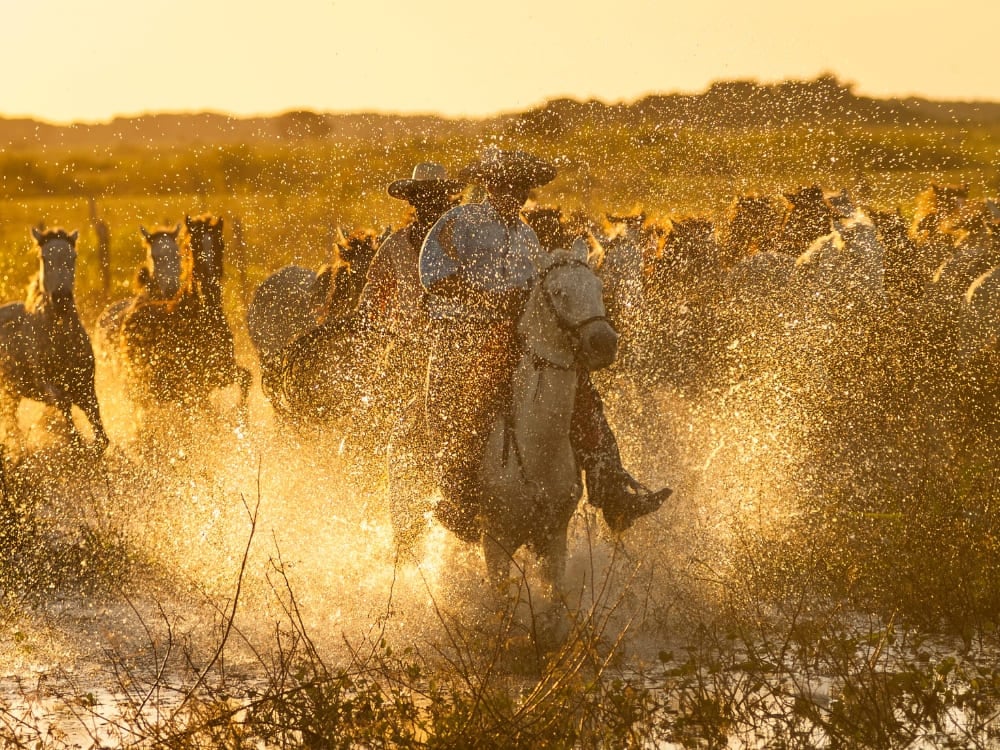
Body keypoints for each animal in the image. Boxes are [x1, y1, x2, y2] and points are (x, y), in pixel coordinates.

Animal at [0, 228, 107, 452]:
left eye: (73, 256)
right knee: (11, 424)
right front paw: (76, 444)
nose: (61, 299)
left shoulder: (86, 386)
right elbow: (64, 405)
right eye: (44, 257)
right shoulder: (49, 386)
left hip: (12, 393)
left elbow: (102, 437)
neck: (60, 338)